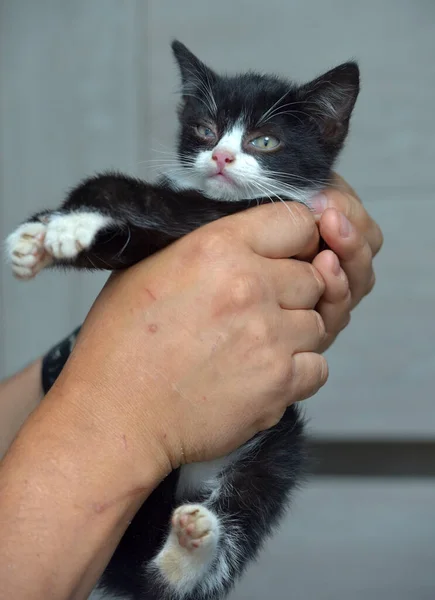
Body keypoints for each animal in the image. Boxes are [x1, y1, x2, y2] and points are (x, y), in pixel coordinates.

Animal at [6, 42, 360, 600]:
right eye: (205, 130)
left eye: (265, 140)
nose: (221, 157)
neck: (228, 202)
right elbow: (139, 229)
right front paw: (41, 236)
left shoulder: (258, 218)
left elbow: (152, 205)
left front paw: (70, 224)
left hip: (278, 439)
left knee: (227, 525)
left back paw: (191, 550)